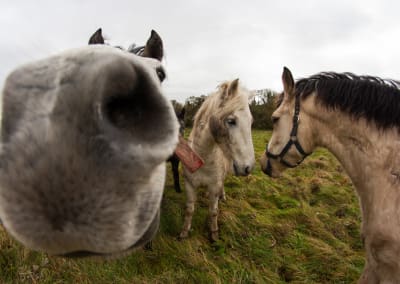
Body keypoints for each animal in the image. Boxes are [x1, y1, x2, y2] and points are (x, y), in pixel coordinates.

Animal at [180, 79, 255, 241]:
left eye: (250, 122)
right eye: (231, 121)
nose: (248, 167)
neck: (202, 158)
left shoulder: (214, 185)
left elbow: (213, 211)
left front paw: (214, 234)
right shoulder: (189, 185)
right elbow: (189, 209)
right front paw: (184, 232)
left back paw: (223, 196)